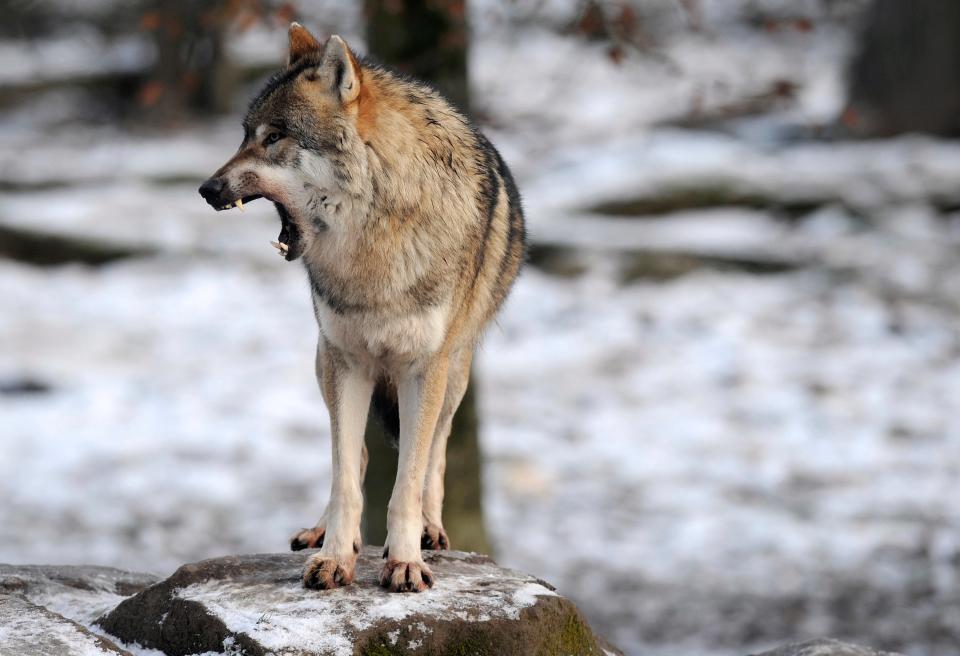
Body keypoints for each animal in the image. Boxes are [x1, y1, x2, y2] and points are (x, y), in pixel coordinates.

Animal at [197, 23, 524, 592]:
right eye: (244, 135)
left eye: (274, 137)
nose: (206, 188)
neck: (375, 246)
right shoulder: (347, 362)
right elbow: (346, 475)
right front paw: (334, 557)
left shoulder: (424, 368)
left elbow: (409, 480)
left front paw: (405, 560)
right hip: (324, 362)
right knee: (356, 455)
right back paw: (325, 531)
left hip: (456, 374)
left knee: (436, 453)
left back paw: (430, 531)